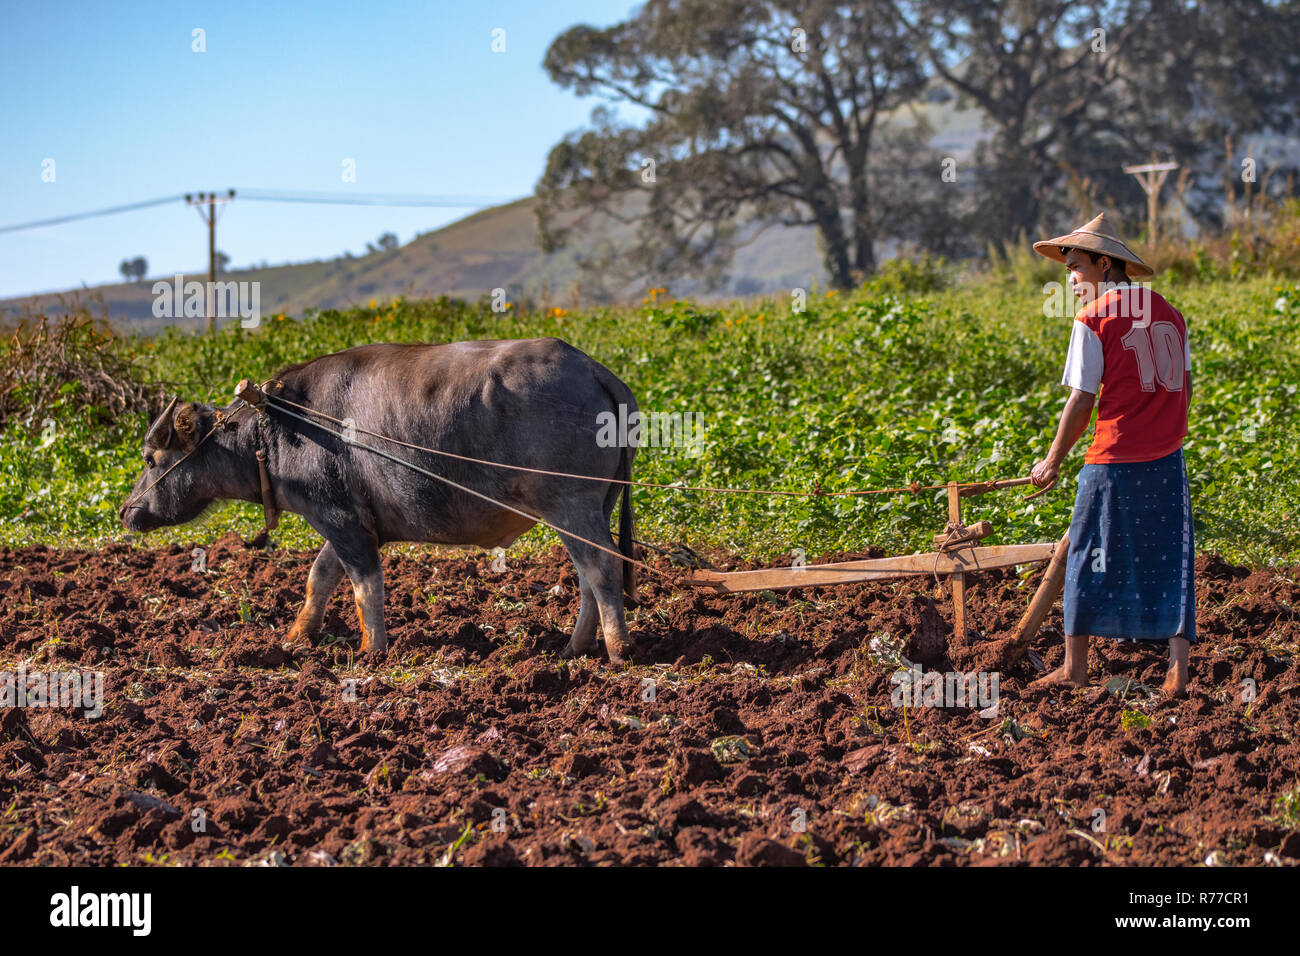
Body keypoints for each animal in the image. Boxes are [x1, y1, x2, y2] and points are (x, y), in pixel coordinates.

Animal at [124, 340, 642, 660]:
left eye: (151, 457)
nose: (127, 511)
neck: (281, 429)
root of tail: (594, 369)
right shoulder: (348, 521)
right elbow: (319, 577)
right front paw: (296, 638)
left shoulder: (341, 520)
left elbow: (364, 585)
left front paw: (370, 651)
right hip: (594, 507)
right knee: (587, 576)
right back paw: (574, 648)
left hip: (569, 505)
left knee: (601, 568)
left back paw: (618, 650)